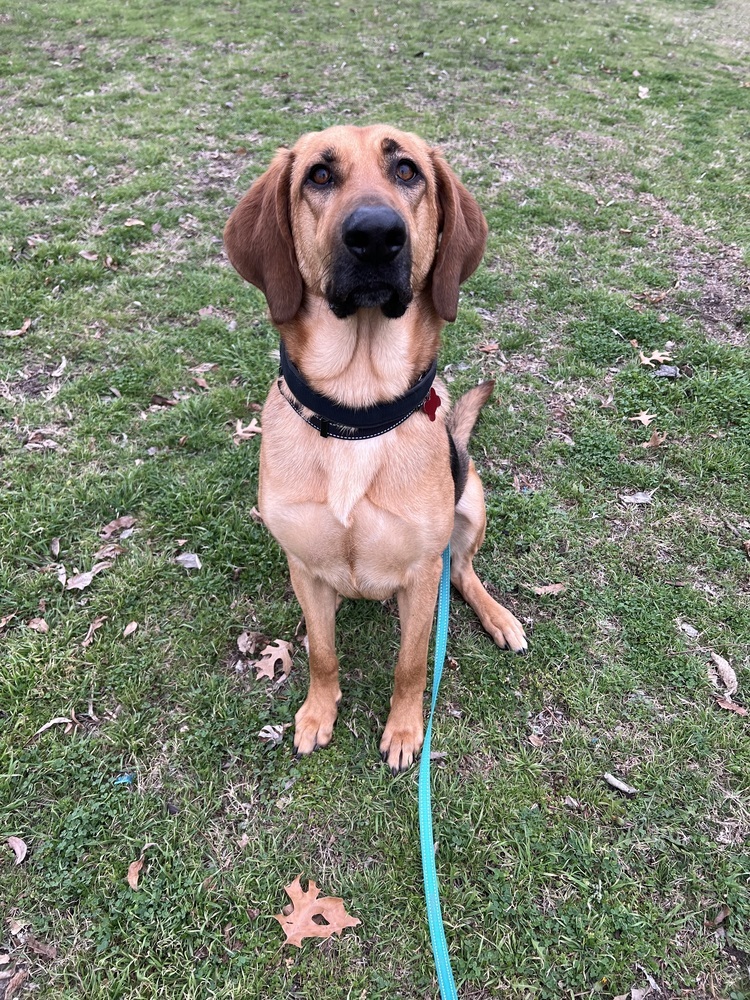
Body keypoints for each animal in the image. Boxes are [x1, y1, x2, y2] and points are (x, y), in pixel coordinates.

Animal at [226, 125, 524, 772]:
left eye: (407, 171)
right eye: (319, 175)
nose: (375, 235)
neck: (356, 415)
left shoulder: (420, 575)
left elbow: (412, 665)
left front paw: (407, 730)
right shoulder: (304, 568)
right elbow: (321, 653)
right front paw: (319, 712)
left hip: (472, 503)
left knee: (464, 571)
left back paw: (498, 616)